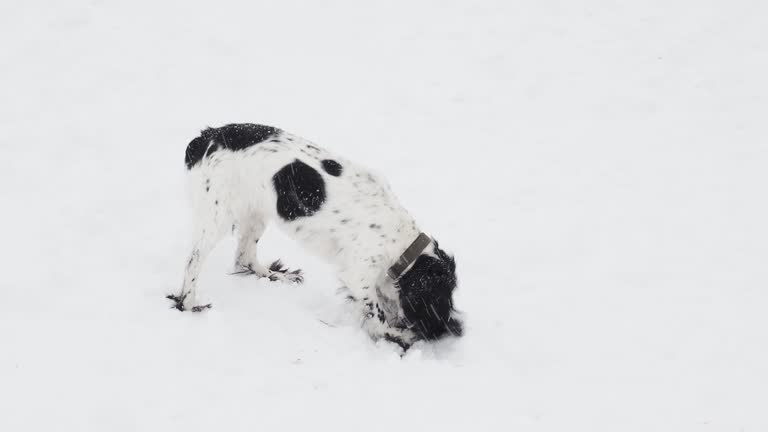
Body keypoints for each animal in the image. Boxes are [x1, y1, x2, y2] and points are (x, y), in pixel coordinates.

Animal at [167, 123, 462, 350]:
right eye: (440, 298)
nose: (448, 329)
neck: (400, 244)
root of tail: (206, 137)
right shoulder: (359, 274)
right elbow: (376, 312)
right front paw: (396, 336)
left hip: (256, 212)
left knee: (244, 258)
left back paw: (276, 275)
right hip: (217, 216)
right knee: (193, 262)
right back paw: (189, 303)